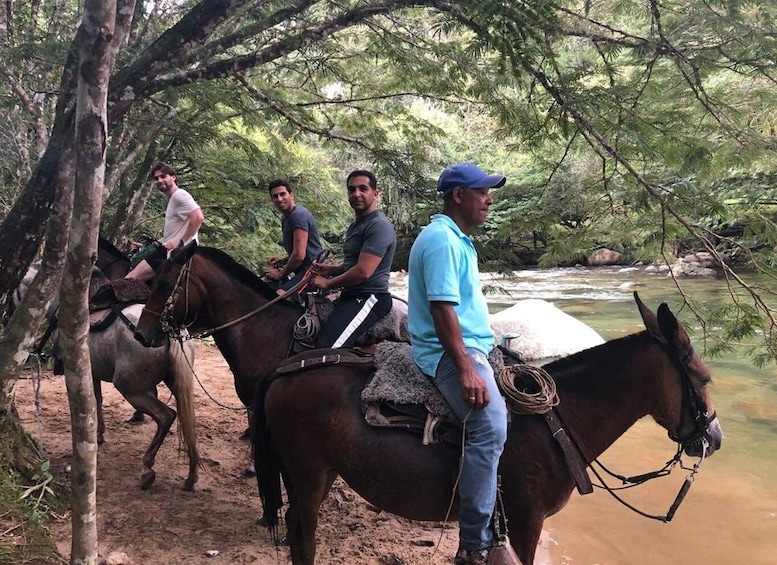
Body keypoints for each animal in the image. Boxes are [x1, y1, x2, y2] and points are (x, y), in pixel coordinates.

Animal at [253, 294, 720, 560]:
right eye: (704, 379)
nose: (714, 438)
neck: (556, 422)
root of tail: (285, 369)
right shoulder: (527, 522)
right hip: (308, 473)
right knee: (304, 537)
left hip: (320, 473)